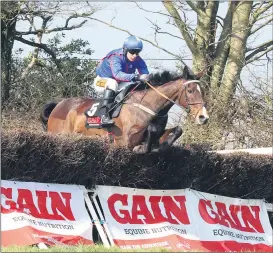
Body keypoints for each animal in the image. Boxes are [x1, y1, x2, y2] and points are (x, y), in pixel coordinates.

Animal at [39, 66, 208, 153]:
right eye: (190, 91)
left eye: (202, 91)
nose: (203, 117)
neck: (148, 105)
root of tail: (59, 105)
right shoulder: (124, 141)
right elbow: (148, 132)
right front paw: (142, 148)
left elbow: (176, 130)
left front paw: (158, 147)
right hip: (60, 134)